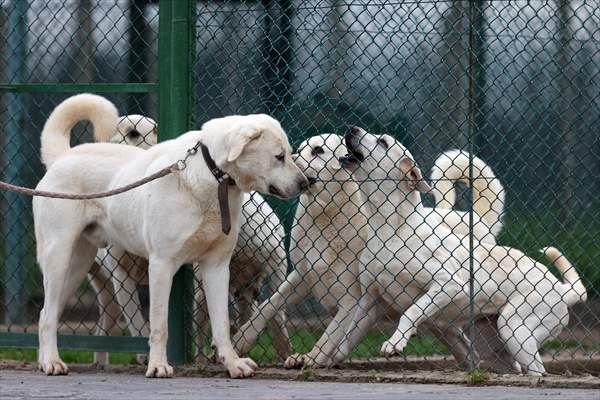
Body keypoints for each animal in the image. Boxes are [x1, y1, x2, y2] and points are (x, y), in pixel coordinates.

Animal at [32, 93, 308, 378]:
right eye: (279, 156)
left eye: (289, 154)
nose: (306, 183)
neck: (213, 177)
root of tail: (63, 156)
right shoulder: (161, 265)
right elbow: (159, 325)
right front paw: (157, 366)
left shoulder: (217, 267)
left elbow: (221, 324)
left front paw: (233, 364)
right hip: (58, 258)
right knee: (48, 315)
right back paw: (52, 362)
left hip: (77, 266)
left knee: (46, 314)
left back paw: (45, 361)